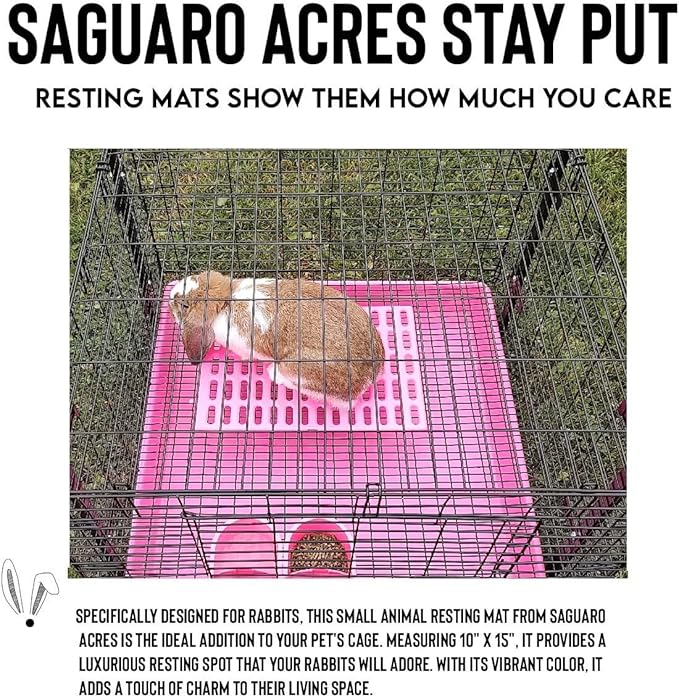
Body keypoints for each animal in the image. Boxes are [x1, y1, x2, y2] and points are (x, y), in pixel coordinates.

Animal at [169, 271, 385, 406]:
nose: (171, 294)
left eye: (184, 305)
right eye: (195, 276)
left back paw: (274, 374)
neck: (226, 300)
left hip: (298, 369)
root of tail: (370, 376)